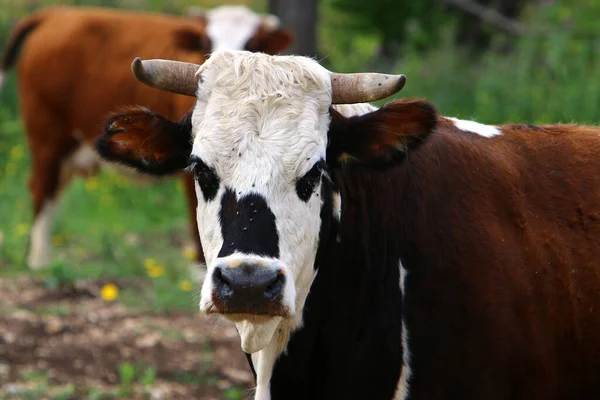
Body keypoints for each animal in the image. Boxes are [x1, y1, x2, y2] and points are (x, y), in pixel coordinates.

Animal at [0, 3, 292, 268]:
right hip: (47, 140)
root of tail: (56, 14)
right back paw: (40, 264)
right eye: (205, 42)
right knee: (41, 192)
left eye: (252, 43)